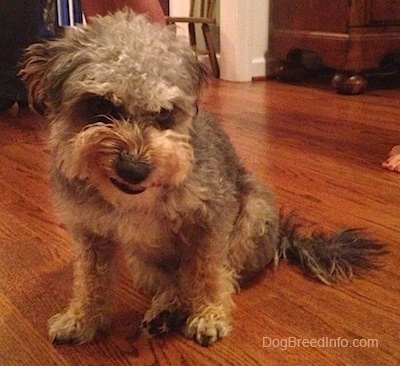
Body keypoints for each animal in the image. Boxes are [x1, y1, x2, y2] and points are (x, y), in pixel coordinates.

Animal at [19, 8, 388, 346]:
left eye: (163, 114)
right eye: (99, 106)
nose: (134, 170)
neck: (138, 200)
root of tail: (282, 238)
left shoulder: (210, 220)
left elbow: (209, 273)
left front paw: (209, 316)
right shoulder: (90, 234)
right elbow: (90, 280)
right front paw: (81, 319)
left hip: (252, 216)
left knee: (220, 275)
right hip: (140, 262)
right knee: (172, 284)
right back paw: (164, 310)